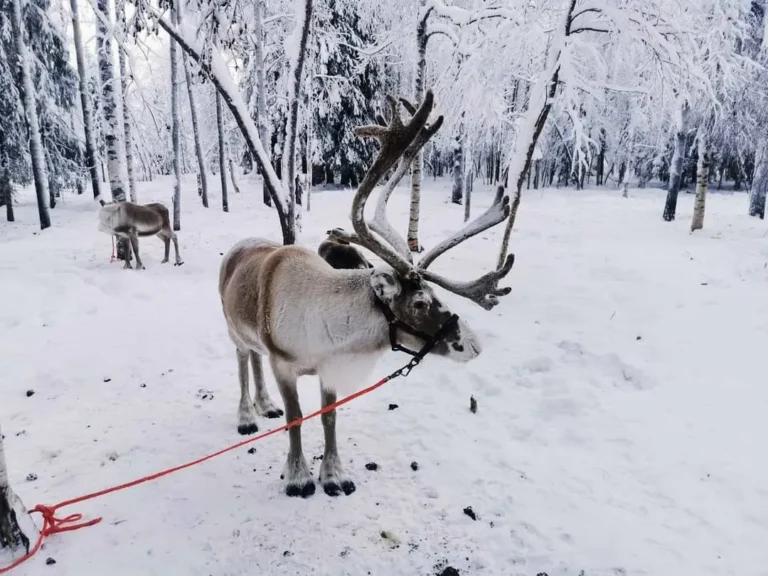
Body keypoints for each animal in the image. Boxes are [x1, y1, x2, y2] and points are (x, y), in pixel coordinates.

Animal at [218, 90, 515, 498]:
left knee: (254, 358)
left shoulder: (329, 367)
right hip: (233, 329)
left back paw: (265, 405)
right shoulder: (285, 365)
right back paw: (247, 414)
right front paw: (298, 477)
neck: (327, 331)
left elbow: (329, 418)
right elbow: (296, 418)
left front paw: (334, 475)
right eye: (420, 302)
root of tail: (238, 247)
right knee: (243, 361)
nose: (474, 345)